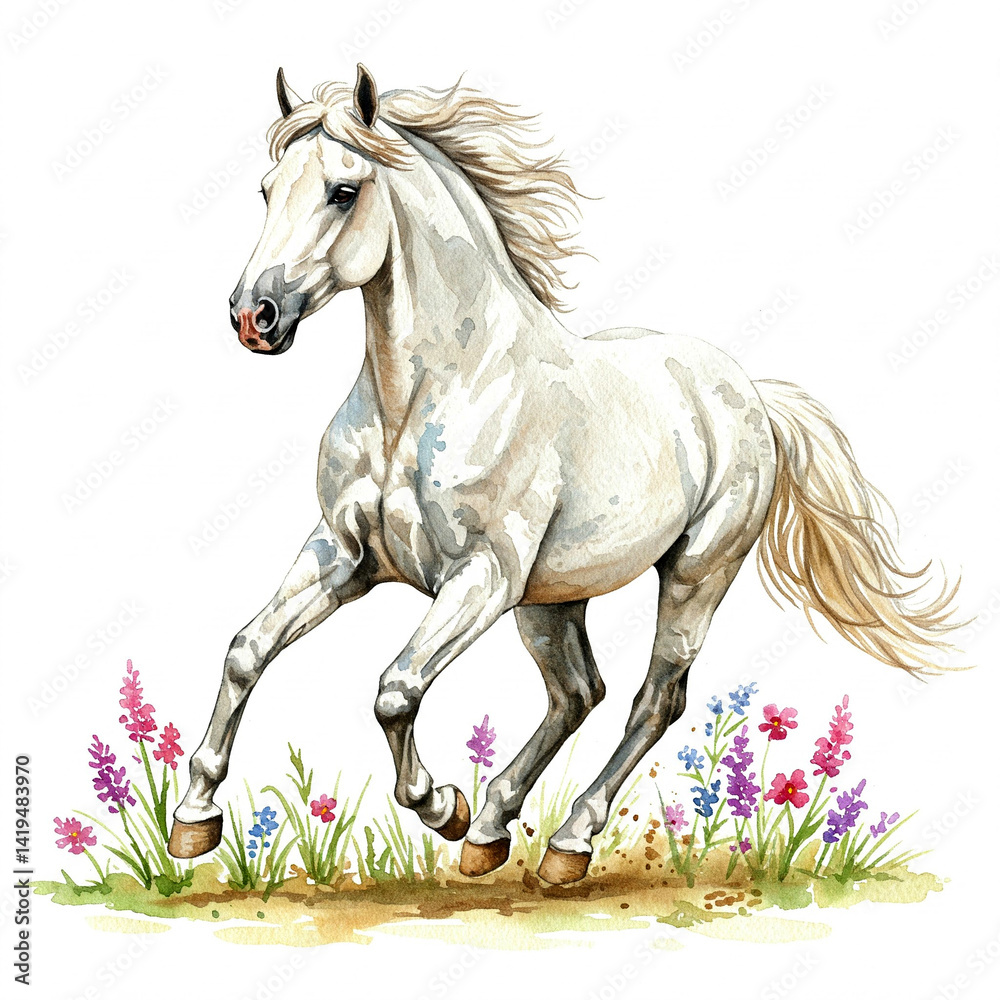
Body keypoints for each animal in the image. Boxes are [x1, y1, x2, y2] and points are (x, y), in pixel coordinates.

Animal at [167, 65, 960, 885]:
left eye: (343, 191)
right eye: (267, 190)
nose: (254, 316)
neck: (424, 398)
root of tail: (749, 393)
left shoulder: (482, 575)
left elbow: (395, 690)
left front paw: (440, 804)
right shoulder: (342, 554)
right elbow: (246, 652)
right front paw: (194, 818)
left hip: (694, 576)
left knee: (653, 699)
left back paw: (566, 843)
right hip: (551, 601)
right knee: (579, 693)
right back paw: (493, 830)